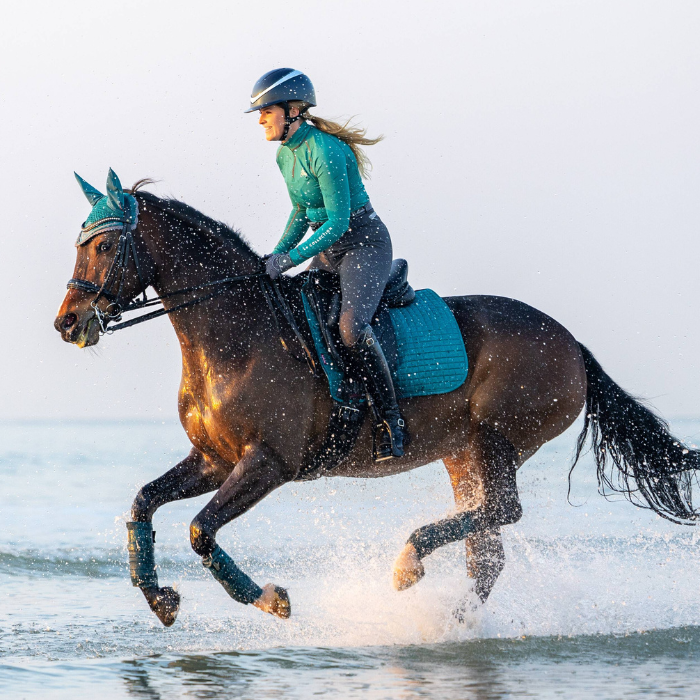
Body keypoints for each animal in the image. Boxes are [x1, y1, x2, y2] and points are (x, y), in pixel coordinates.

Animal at [54, 172, 700, 628]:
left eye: (105, 247)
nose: (68, 324)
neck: (237, 335)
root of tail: (570, 343)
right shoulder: (214, 459)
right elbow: (144, 503)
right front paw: (160, 598)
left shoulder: (268, 463)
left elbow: (200, 531)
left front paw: (269, 599)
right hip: (464, 454)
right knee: (487, 547)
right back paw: (451, 621)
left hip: (498, 439)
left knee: (503, 515)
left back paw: (409, 564)